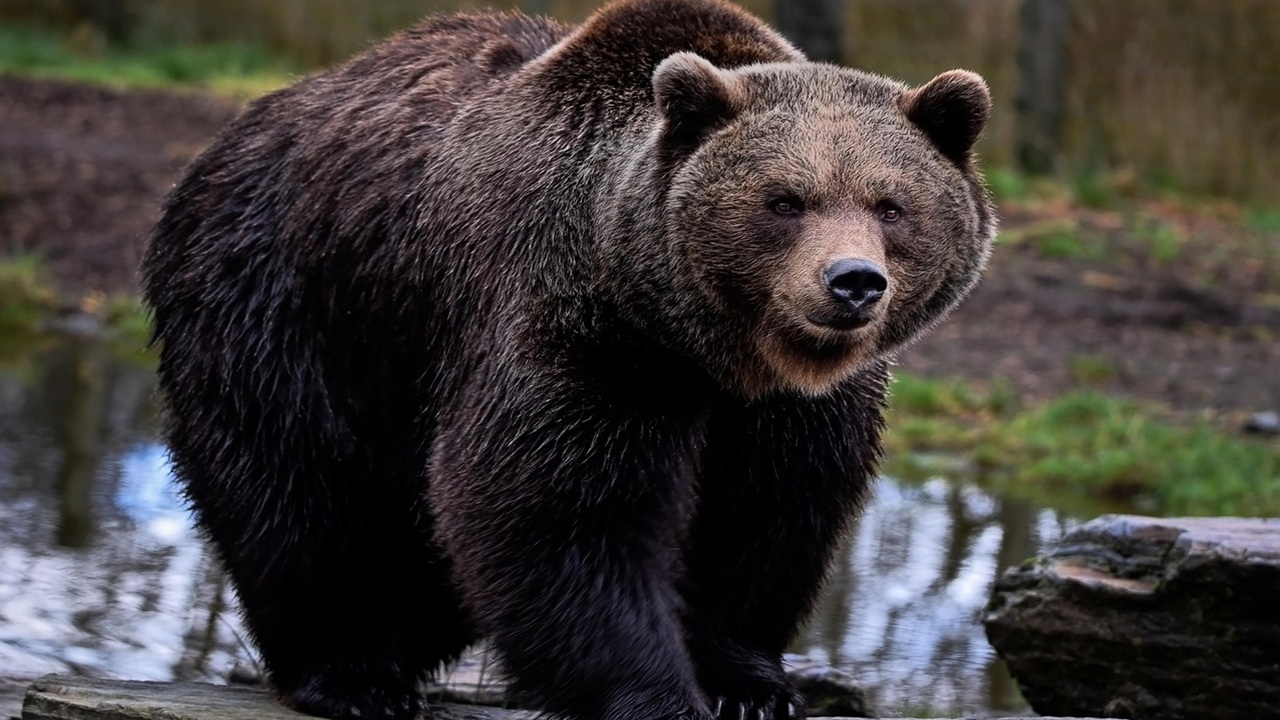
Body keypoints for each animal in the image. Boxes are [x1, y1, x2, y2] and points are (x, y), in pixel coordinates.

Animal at [141, 0, 995, 719]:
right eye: (785, 201)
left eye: (891, 205)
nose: (852, 282)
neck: (705, 347)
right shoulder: (579, 331)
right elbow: (562, 512)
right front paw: (657, 696)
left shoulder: (790, 407)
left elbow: (767, 514)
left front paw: (753, 686)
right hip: (289, 298)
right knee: (295, 490)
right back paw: (351, 676)